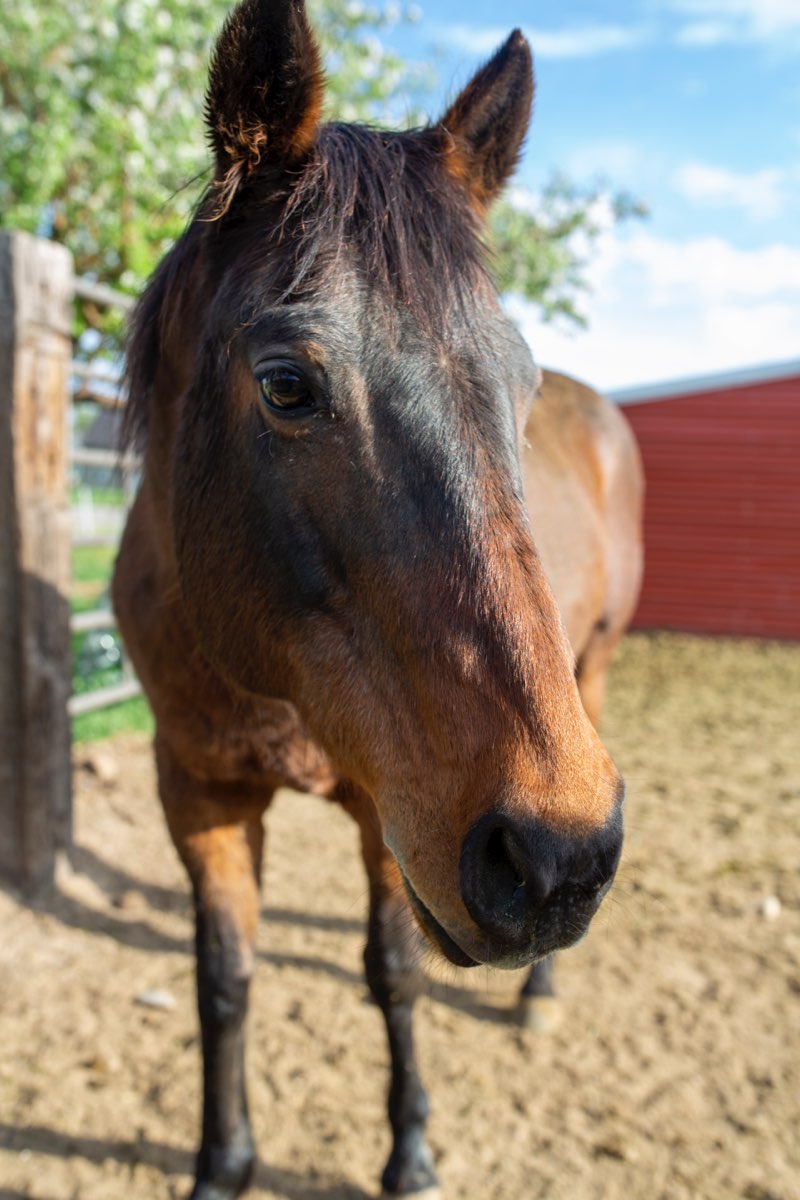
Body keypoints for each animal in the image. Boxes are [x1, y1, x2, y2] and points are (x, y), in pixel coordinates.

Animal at [112, 2, 642, 1200]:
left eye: (519, 388)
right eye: (285, 384)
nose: (559, 863)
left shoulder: (390, 804)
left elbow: (393, 971)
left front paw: (409, 1152)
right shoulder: (198, 790)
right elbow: (224, 980)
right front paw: (223, 1163)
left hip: (591, 670)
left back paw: (538, 999)